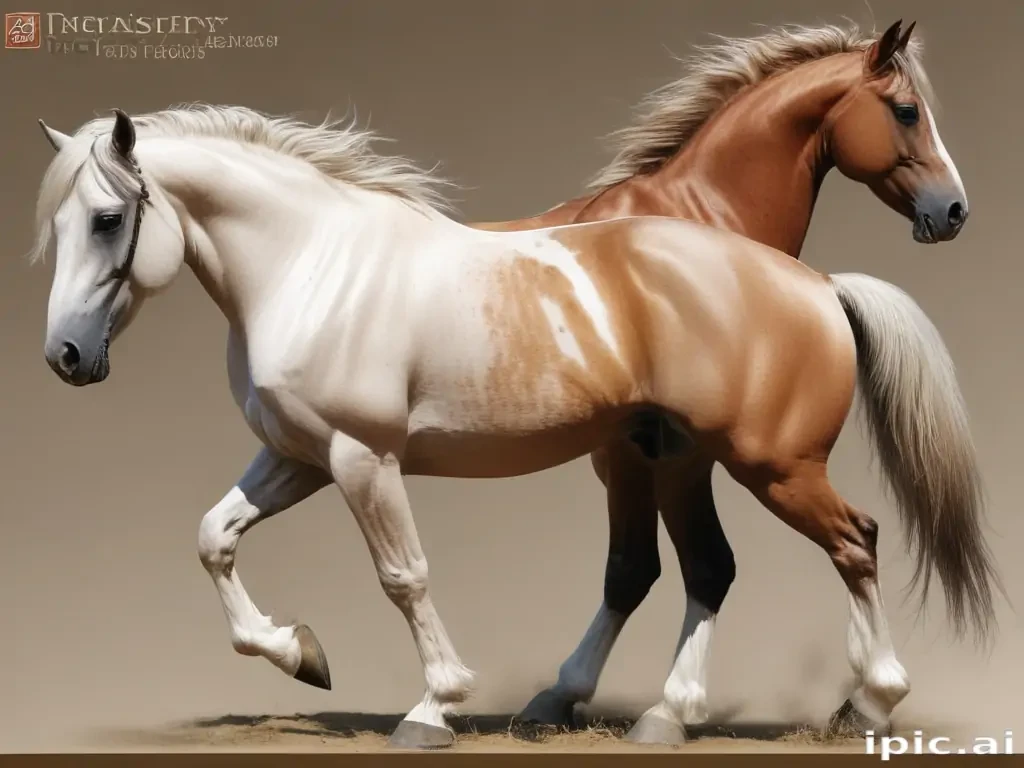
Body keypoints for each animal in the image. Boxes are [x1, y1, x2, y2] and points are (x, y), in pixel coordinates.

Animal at [32, 104, 997, 751]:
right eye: (59, 224)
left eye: (109, 220)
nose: (66, 356)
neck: (314, 265)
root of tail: (818, 285)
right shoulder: (297, 457)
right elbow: (214, 539)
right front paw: (301, 654)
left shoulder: (362, 458)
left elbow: (404, 577)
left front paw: (434, 707)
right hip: (690, 462)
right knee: (708, 566)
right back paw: (664, 714)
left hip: (774, 466)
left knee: (855, 542)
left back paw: (867, 702)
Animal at [473, 19, 988, 742]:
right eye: (907, 110)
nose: (954, 210)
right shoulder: (648, 453)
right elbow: (659, 567)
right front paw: (581, 698)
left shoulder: (669, 454)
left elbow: (680, 567)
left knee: (854, 540)